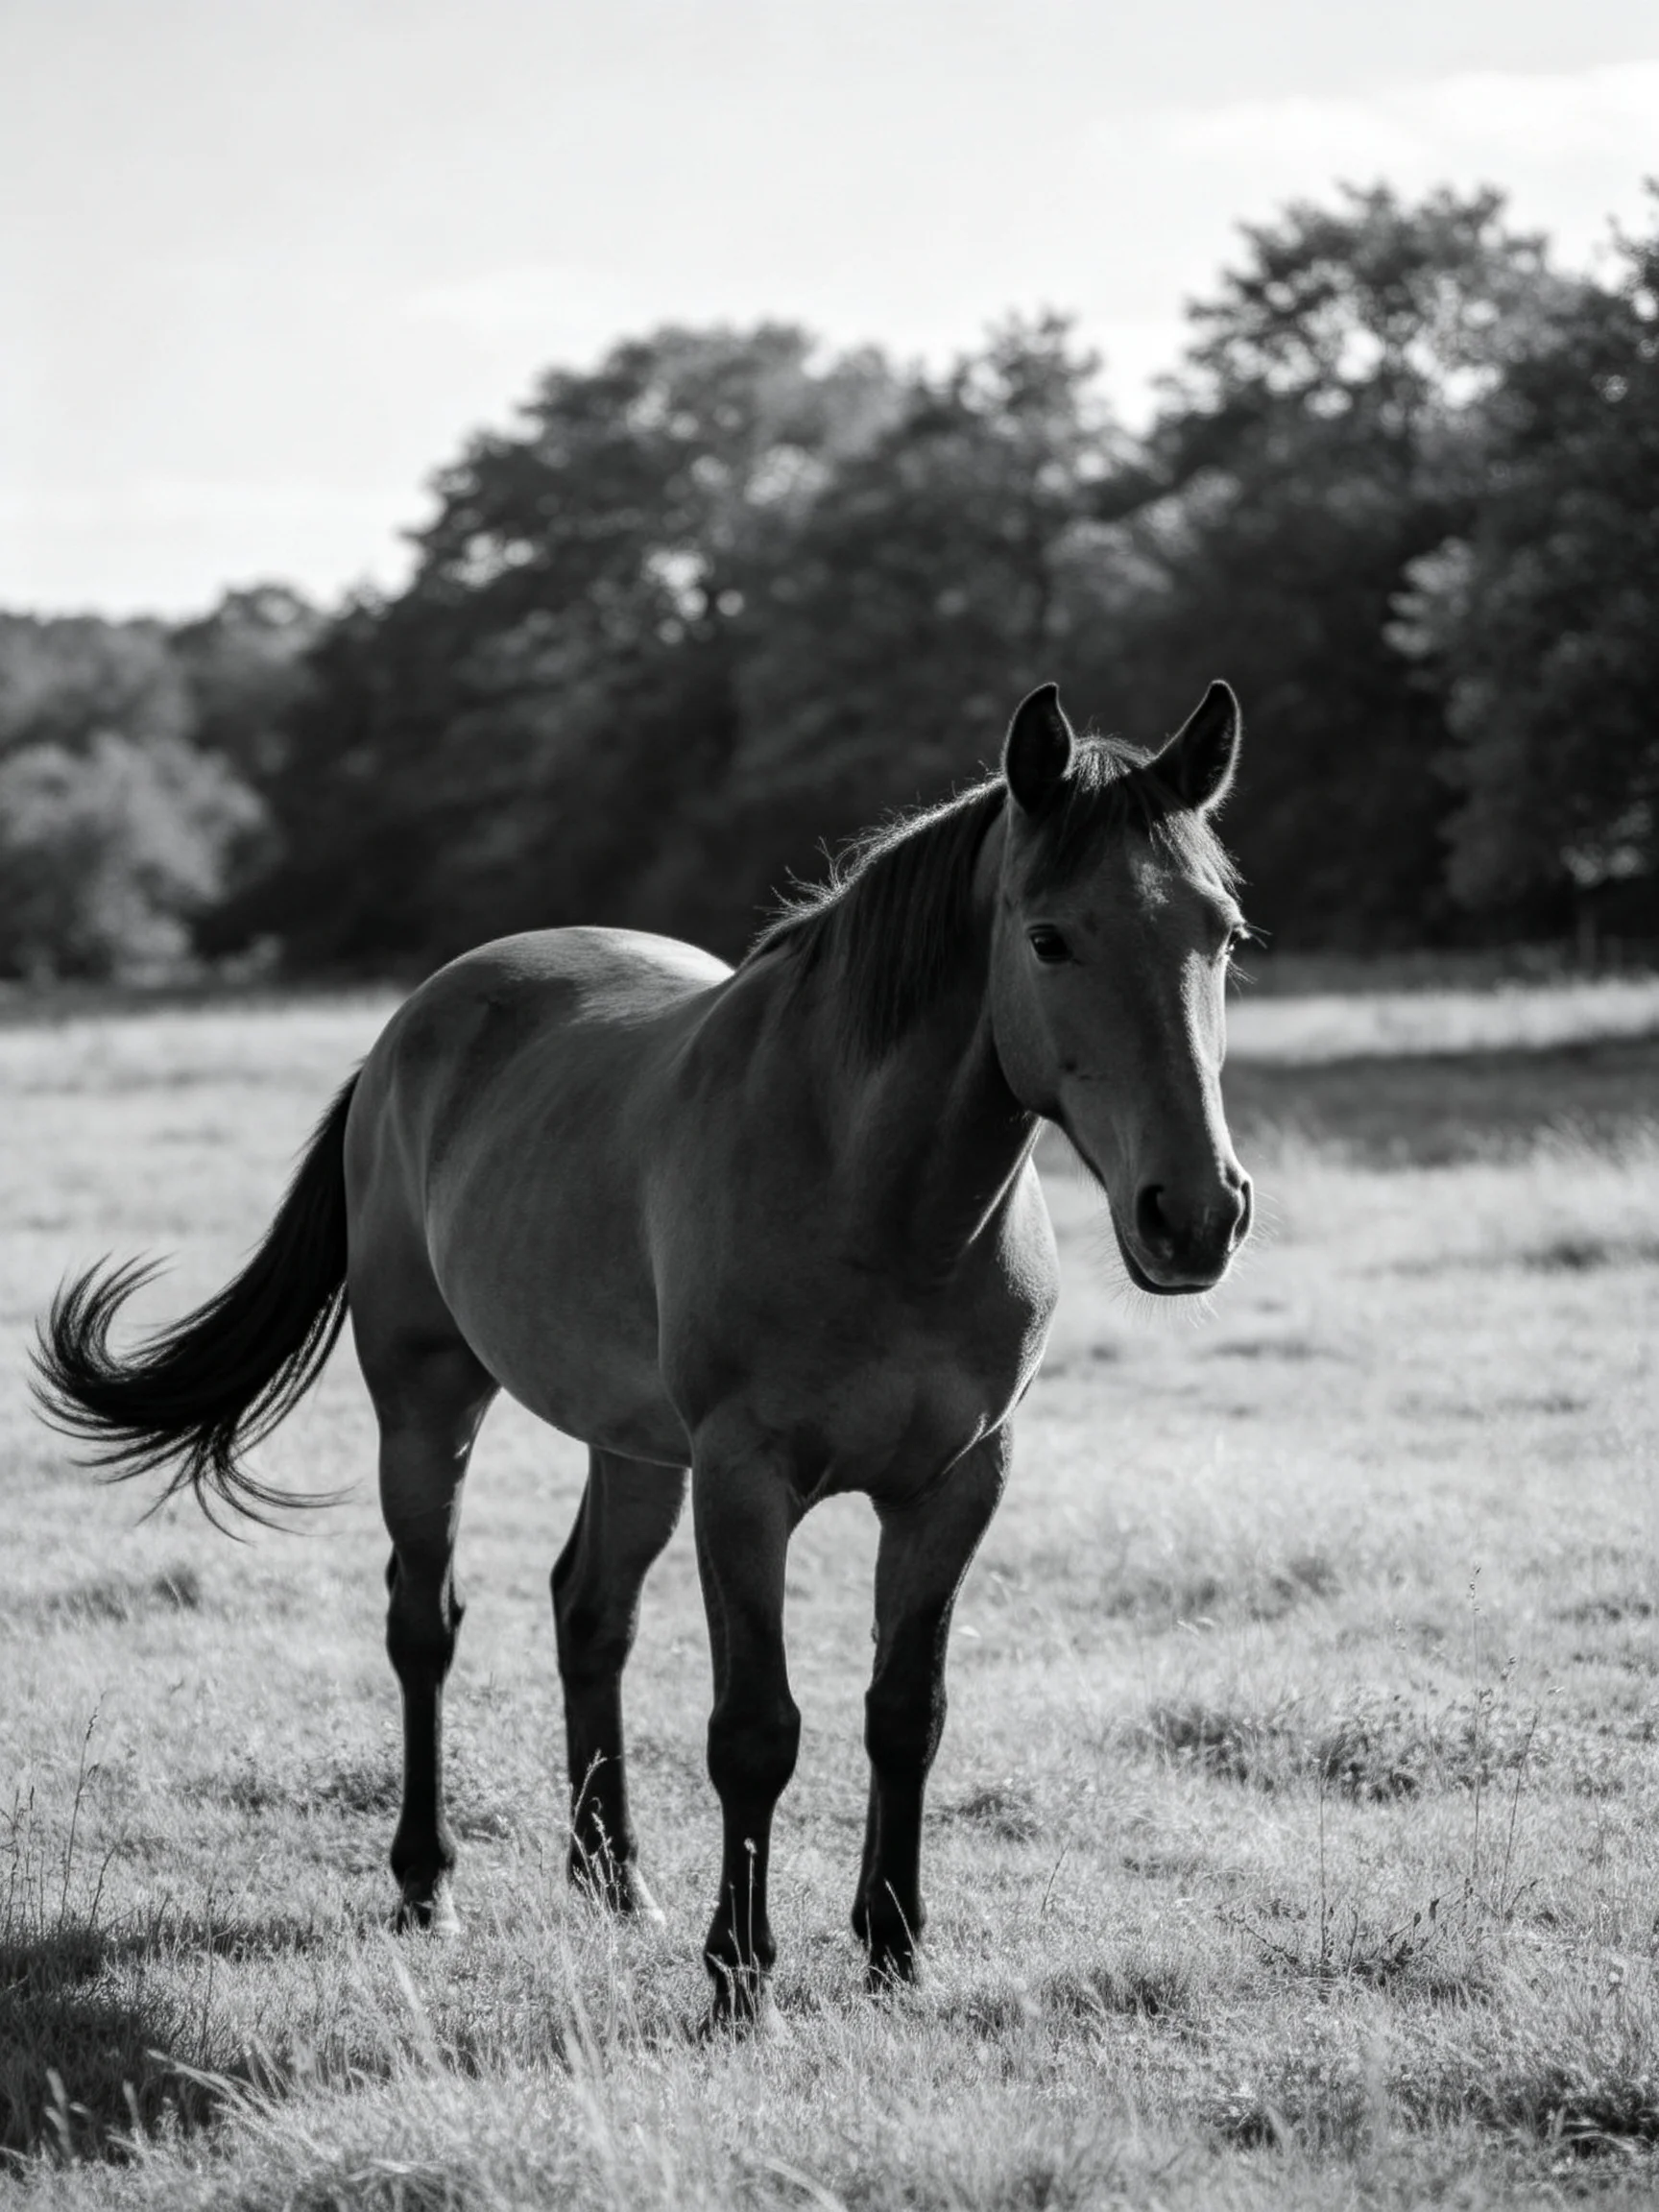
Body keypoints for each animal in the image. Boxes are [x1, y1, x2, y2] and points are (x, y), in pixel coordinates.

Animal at [34, 679, 1254, 2020]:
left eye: (1223, 934)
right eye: (1048, 939)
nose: (1195, 1214)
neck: (877, 1195)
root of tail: (413, 1025)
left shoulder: (957, 1481)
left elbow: (905, 1712)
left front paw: (894, 1950)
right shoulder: (744, 1480)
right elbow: (756, 1730)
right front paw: (740, 1976)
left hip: (632, 1446)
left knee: (591, 1613)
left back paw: (615, 1878)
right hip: (427, 1402)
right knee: (425, 1622)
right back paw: (427, 1885)